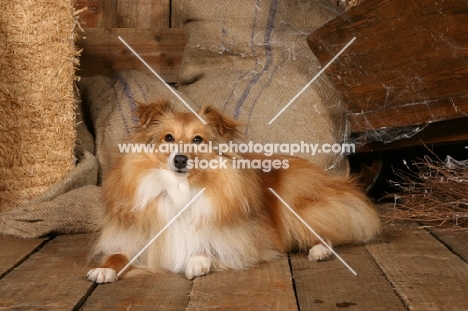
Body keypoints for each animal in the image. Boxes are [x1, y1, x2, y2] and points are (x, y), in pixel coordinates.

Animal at [88, 100, 380, 286]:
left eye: (198, 140)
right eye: (168, 138)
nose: (180, 160)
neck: (182, 189)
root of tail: (334, 181)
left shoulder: (235, 237)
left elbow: (208, 245)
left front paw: (197, 261)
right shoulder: (138, 236)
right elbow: (119, 253)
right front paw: (104, 269)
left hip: (299, 209)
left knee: (330, 232)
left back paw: (320, 251)